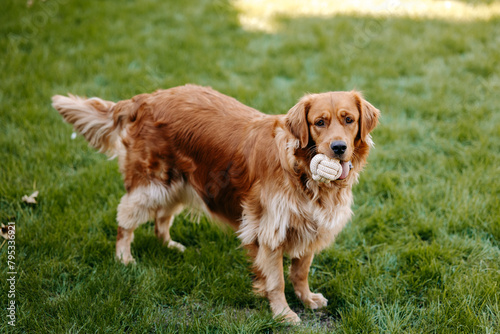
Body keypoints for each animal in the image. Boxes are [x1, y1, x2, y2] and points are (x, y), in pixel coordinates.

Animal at [50, 85, 378, 322]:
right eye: (319, 123)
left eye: (349, 120)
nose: (339, 148)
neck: (303, 173)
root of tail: (146, 97)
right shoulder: (270, 229)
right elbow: (277, 281)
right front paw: (283, 313)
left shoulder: (311, 226)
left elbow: (300, 272)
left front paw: (307, 299)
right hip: (152, 185)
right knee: (126, 219)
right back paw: (124, 257)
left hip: (179, 184)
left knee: (162, 219)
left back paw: (170, 245)